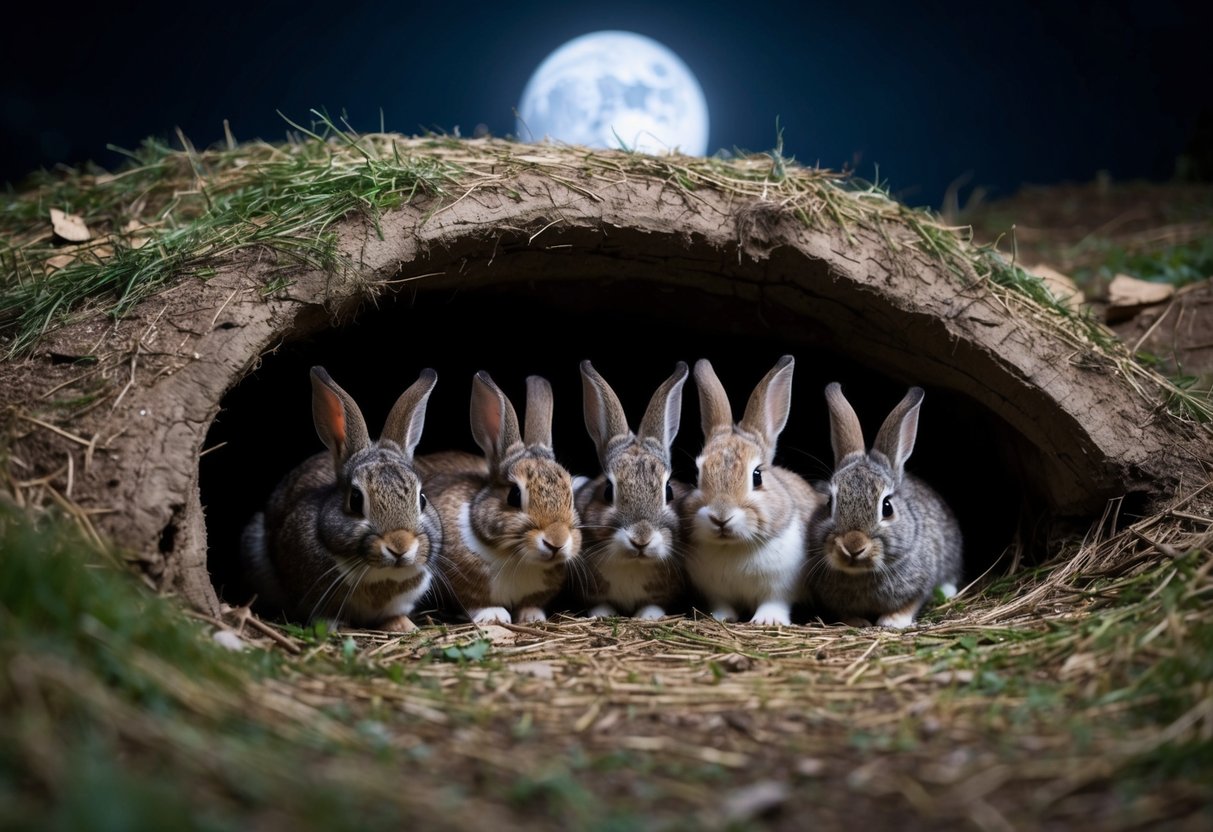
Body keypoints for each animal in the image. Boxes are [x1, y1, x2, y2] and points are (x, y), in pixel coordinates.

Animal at [416, 371, 582, 625]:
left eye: (570, 497)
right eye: (514, 495)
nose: (556, 542)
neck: (516, 556)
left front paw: (532, 616)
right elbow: (475, 603)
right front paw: (493, 615)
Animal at [682, 355, 821, 626]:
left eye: (757, 476)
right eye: (697, 475)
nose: (721, 517)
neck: (733, 546)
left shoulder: (781, 587)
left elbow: (774, 602)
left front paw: (768, 621)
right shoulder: (715, 591)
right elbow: (722, 604)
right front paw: (720, 617)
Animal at [805, 383, 963, 629]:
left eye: (887, 507)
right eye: (829, 503)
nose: (853, 546)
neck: (860, 573)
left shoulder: (921, 583)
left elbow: (911, 603)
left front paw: (893, 621)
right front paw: (856, 621)